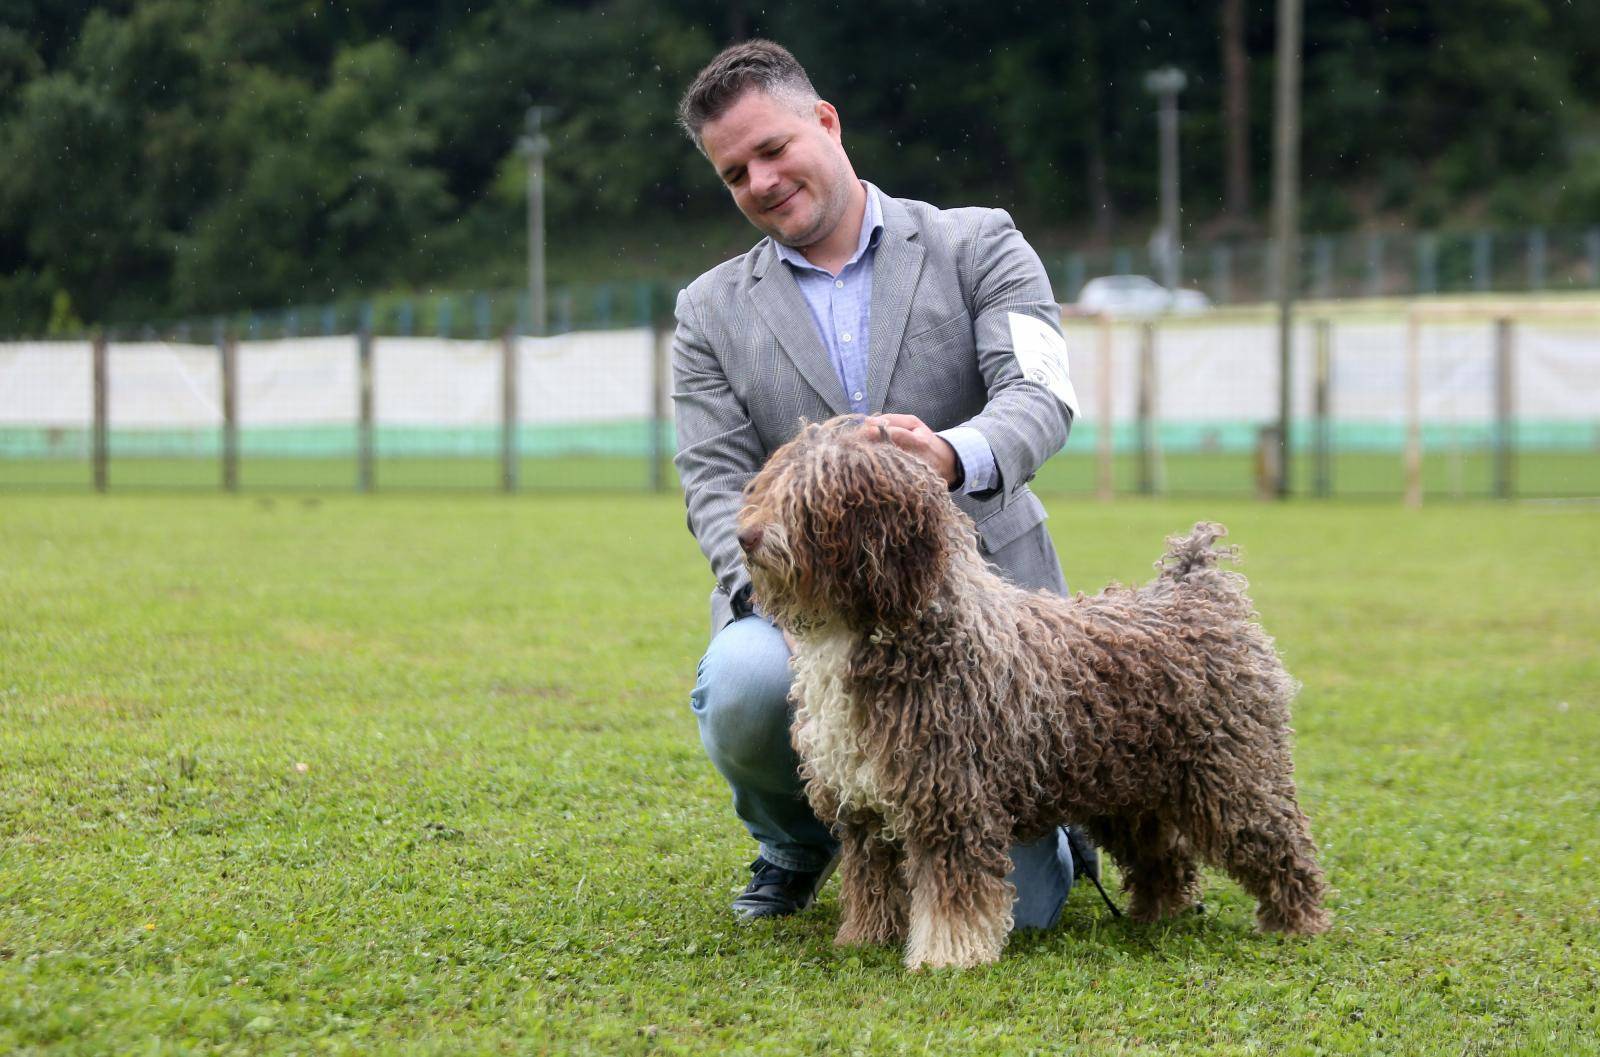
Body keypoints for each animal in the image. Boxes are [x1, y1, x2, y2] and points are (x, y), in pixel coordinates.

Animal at [736, 409, 1324, 965]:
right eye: (767, 486)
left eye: (811, 499)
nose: (745, 537)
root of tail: (1199, 592)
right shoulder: (861, 805)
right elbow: (870, 881)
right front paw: (864, 938)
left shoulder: (952, 797)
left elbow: (954, 890)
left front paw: (947, 954)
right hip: (1130, 789)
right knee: (1165, 860)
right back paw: (1155, 916)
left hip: (1231, 777)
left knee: (1281, 845)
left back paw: (1298, 921)